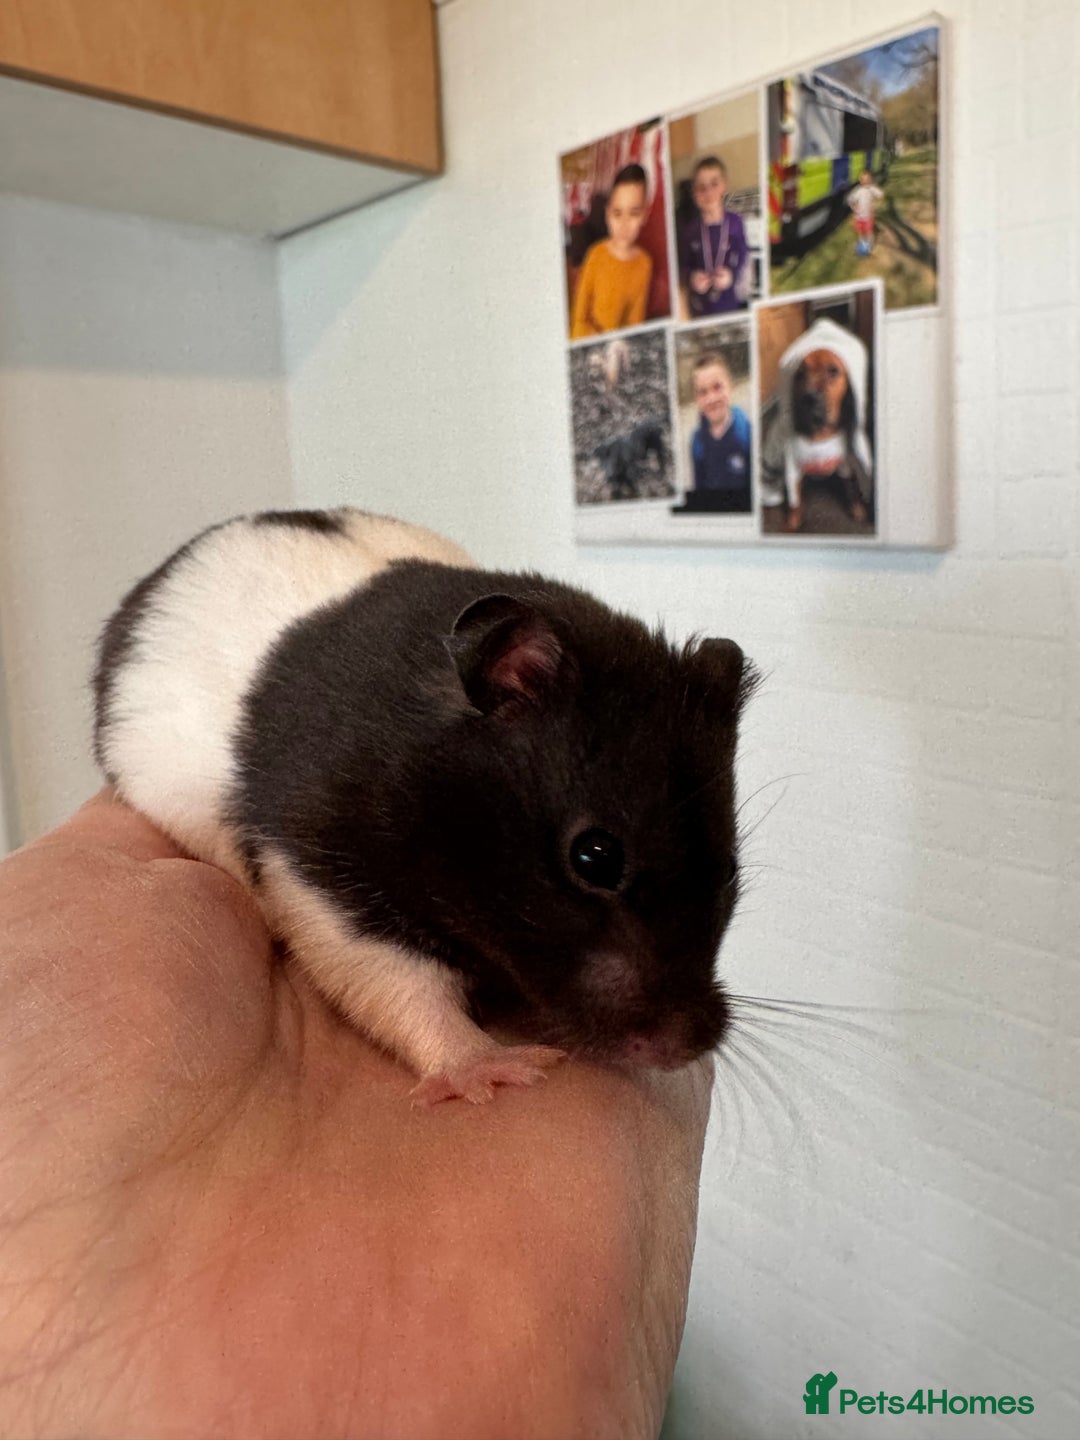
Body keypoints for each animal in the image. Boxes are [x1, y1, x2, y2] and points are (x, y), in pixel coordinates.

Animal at [93, 507, 755, 1104]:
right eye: (595, 857)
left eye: (728, 872)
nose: (680, 1050)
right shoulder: (320, 882)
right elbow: (401, 985)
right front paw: (499, 1070)